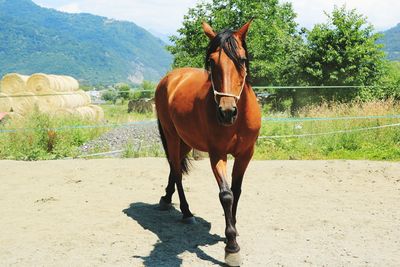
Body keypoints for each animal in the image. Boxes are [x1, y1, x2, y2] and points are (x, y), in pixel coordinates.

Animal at [155, 19, 260, 266]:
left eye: (242, 60)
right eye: (212, 62)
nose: (227, 112)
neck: (237, 121)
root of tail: (170, 78)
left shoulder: (245, 154)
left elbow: (237, 190)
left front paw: (232, 228)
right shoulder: (217, 154)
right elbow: (226, 195)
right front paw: (231, 246)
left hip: (185, 140)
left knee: (175, 168)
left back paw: (166, 199)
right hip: (171, 136)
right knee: (177, 171)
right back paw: (186, 213)